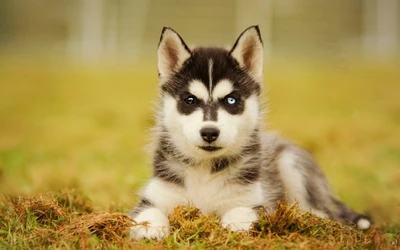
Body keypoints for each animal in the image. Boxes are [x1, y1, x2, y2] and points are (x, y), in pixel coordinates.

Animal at [130, 25, 370, 240]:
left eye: (231, 100)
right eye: (190, 100)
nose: (209, 132)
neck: (206, 170)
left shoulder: (254, 200)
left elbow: (240, 211)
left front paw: (234, 225)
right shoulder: (155, 196)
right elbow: (149, 211)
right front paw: (149, 228)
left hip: (291, 163)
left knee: (322, 208)